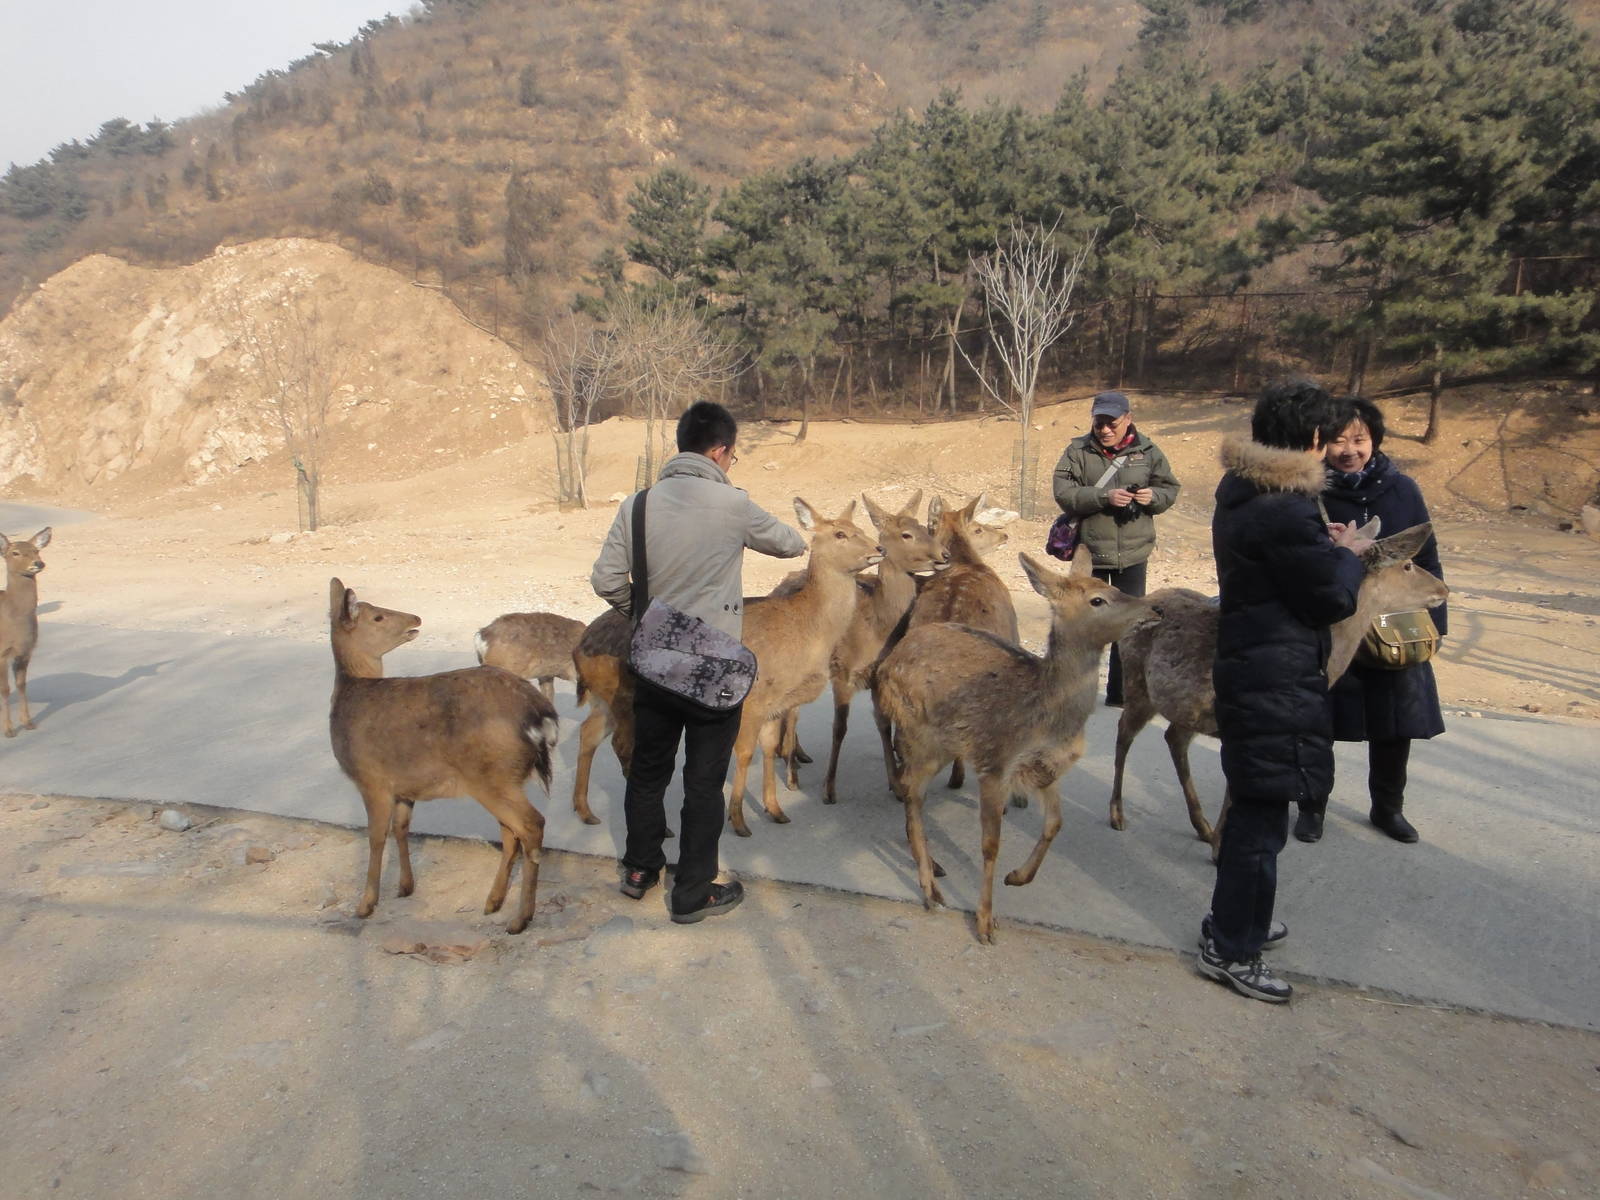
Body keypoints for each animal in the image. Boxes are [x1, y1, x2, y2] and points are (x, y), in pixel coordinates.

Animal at [328, 578, 560, 933]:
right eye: (378, 616)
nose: (416, 618)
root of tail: (540, 715)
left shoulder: (371, 778)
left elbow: (376, 836)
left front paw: (365, 905)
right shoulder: (403, 786)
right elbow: (401, 828)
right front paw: (405, 887)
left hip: (489, 776)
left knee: (531, 825)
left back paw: (520, 918)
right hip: (506, 778)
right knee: (511, 832)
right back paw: (493, 902)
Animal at [873, 546, 1159, 943]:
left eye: (1110, 586)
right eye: (1097, 599)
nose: (1155, 609)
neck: (1047, 719)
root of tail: (889, 662)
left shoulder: (1047, 769)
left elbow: (1055, 823)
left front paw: (1018, 877)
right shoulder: (995, 762)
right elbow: (991, 845)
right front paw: (985, 922)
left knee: (912, 792)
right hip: (921, 733)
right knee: (911, 794)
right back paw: (931, 888)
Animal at [1107, 521, 1449, 849]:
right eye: (1408, 565)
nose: (1443, 588)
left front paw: (1219, 842)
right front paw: (1221, 851)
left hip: (1183, 706)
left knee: (1173, 738)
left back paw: (1203, 828)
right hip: (1137, 682)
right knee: (1124, 732)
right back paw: (1117, 814)